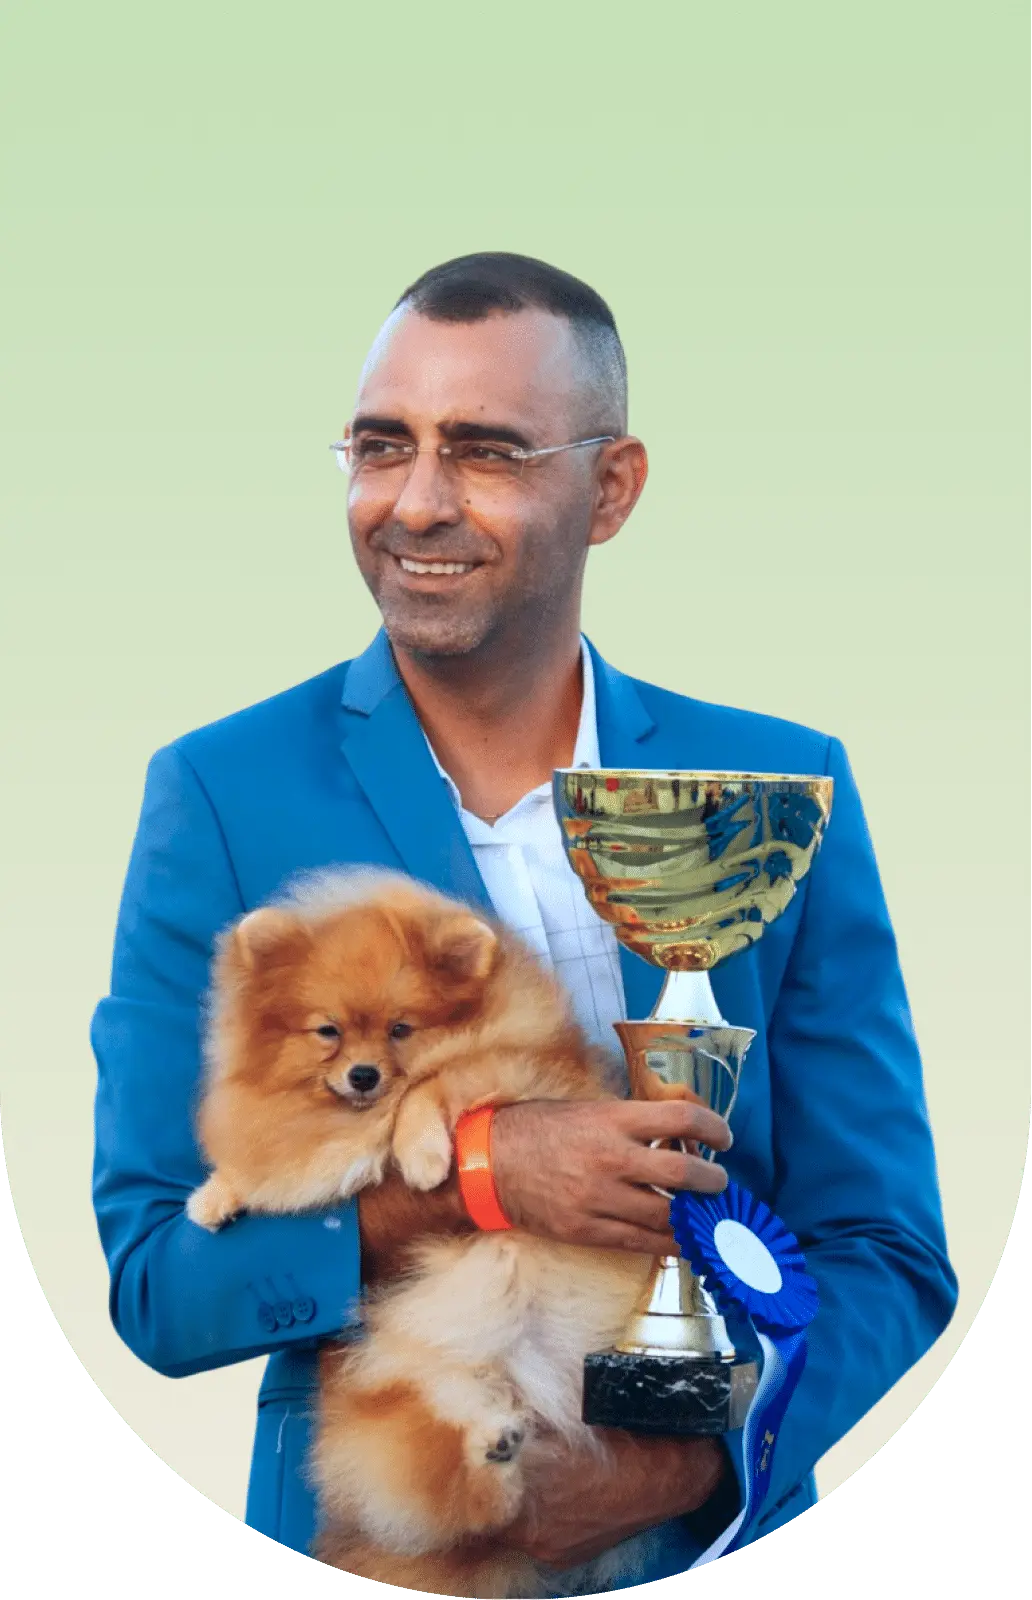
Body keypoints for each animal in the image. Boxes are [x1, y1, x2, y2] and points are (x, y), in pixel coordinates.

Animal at [188, 869, 688, 1597]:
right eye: (328, 1032)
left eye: (401, 1030)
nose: (363, 1075)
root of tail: (533, 1397)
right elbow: (282, 1165)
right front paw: (215, 1194)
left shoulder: (528, 1069)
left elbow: (437, 1082)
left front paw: (421, 1151)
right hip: (414, 1391)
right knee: (459, 1497)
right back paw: (490, 1453)